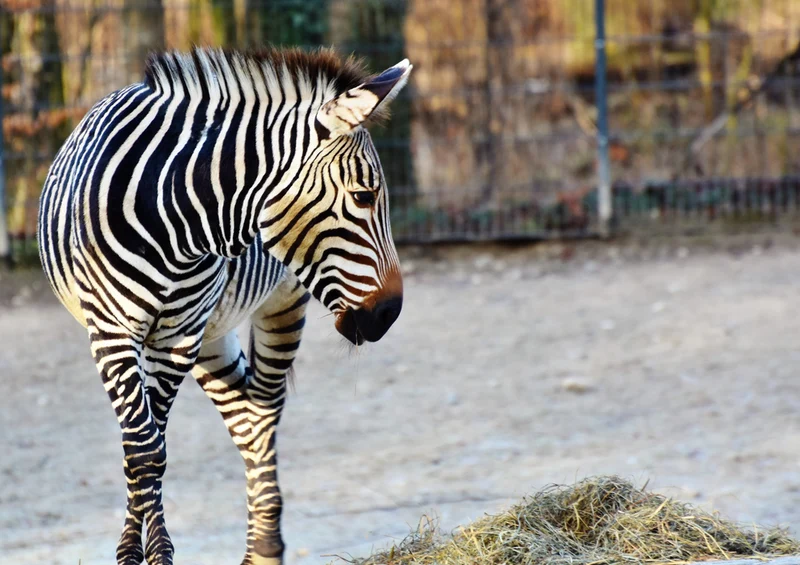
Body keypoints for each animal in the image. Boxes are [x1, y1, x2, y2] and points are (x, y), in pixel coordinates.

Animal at [37, 47, 411, 565]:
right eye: (363, 196)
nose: (389, 313)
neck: (173, 216)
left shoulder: (177, 335)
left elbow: (155, 442)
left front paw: (156, 552)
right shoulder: (112, 332)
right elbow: (142, 447)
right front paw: (137, 553)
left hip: (275, 308)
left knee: (262, 418)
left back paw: (265, 547)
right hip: (211, 336)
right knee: (242, 416)